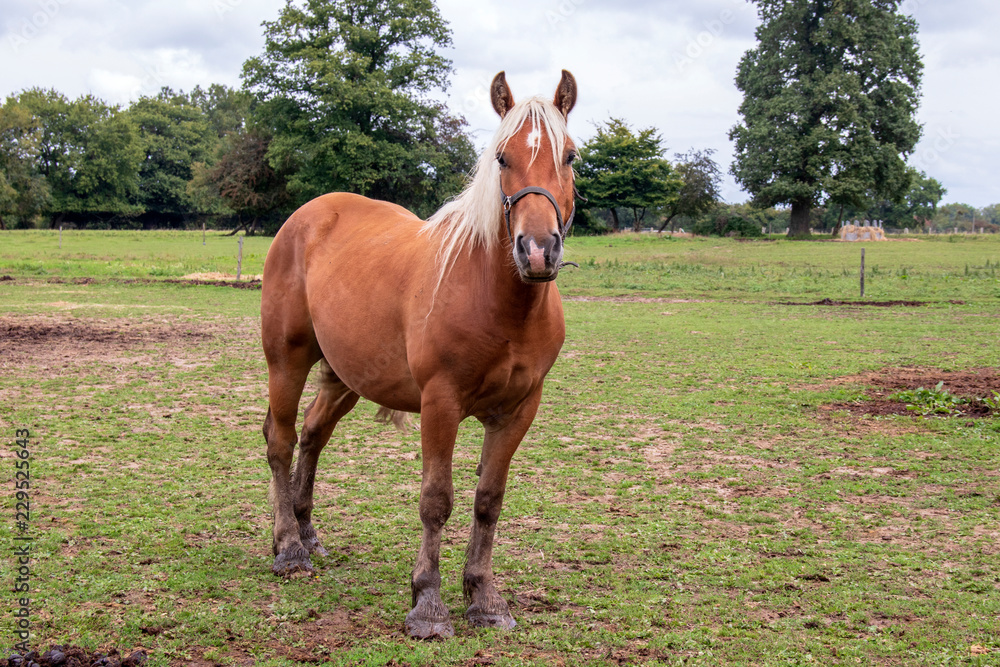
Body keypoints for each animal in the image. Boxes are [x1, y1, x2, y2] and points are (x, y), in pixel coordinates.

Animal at [260, 70, 579, 639]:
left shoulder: (518, 410)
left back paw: (306, 530)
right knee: (280, 440)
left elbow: (488, 502)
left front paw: (484, 597)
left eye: (569, 156)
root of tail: (307, 215)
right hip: (287, 361)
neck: (497, 298)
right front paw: (427, 604)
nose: (538, 250)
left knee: (313, 435)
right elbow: (436, 502)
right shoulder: (440, 403)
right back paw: (290, 549)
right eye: (502, 158)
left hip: (345, 377)